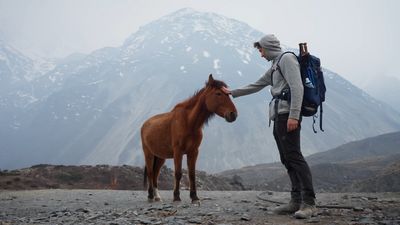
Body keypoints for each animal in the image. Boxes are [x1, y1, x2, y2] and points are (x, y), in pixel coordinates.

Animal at [141, 74, 236, 204]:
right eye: (218, 93)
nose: (233, 114)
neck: (189, 122)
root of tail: (145, 124)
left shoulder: (193, 152)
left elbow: (191, 174)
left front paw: (194, 197)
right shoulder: (178, 152)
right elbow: (178, 173)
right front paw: (176, 197)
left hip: (160, 157)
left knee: (155, 173)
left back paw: (157, 196)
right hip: (148, 154)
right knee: (151, 173)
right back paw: (150, 196)